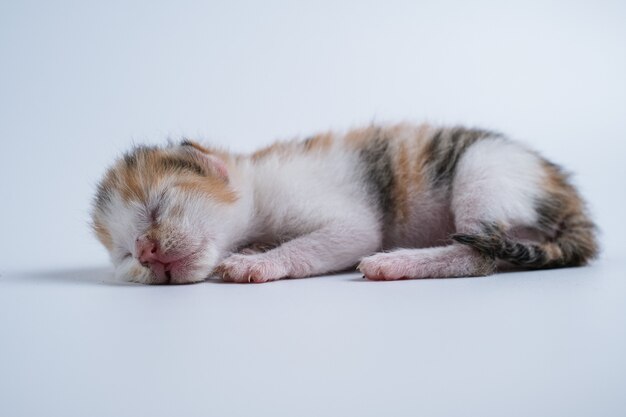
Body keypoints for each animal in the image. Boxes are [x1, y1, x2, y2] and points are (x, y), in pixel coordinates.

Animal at [89, 121, 596, 282]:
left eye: (156, 207)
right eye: (127, 255)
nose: (147, 251)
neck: (255, 186)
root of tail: (572, 201)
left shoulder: (320, 205)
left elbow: (347, 235)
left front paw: (260, 262)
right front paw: (252, 251)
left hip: (485, 168)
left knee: (478, 253)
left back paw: (398, 263)